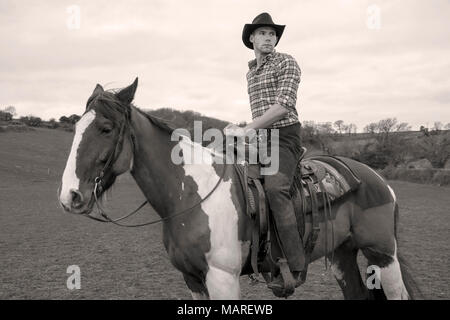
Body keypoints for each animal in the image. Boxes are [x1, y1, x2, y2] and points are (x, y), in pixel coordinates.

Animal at [59, 78, 422, 300]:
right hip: (341, 255)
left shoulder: (222, 278)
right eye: (75, 127)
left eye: (106, 128)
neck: (190, 196)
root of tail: (378, 180)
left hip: (381, 253)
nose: (70, 196)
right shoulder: (192, 279)